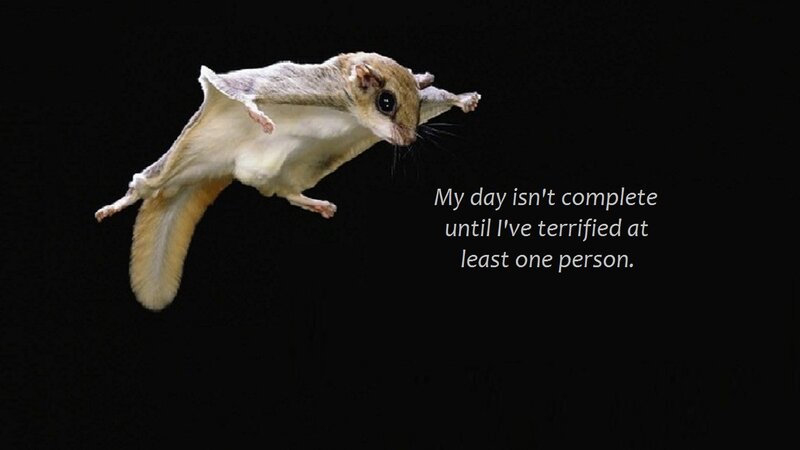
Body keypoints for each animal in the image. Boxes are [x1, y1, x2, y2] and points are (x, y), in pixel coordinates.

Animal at [95, 51, 481, 310]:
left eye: (415, 107)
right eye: (386, 102)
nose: (409, 139)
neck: (348, 106)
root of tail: (222, 167)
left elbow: (437, 97)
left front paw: (463, 99)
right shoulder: (294, 82)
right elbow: (236, 86)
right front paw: (257, 114)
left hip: (293, 169)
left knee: (285, 192)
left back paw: (316, 204)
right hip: (180, 159)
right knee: (147, 183)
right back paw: (117, 204)